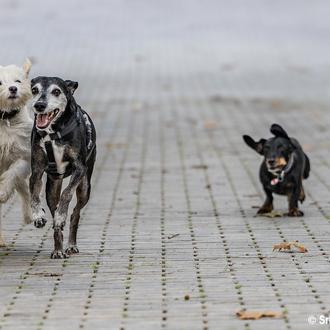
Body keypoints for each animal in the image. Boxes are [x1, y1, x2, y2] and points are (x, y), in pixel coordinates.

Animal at [28, 76, 96, 258]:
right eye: (34, 90)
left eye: (56, 91)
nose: (39, 105)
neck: (53, 132)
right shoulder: (36, 170)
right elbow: (34, 194)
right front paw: (37, 215)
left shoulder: (79, 168)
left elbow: (67, 193)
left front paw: (60, 217)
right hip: (52, 187)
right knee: (54, 209)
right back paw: (58, 249)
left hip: (85, 187)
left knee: (75, 213)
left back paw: (70, 243)